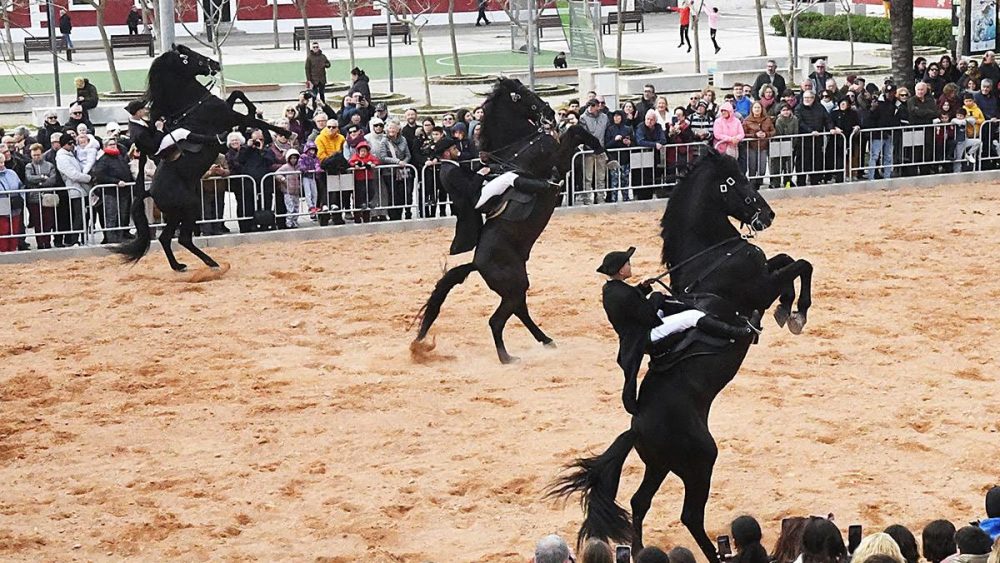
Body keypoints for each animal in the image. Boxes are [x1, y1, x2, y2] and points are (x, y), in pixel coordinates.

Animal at [116, 44, 292, 274]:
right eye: (189, 57)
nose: (215, 64)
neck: (193, 104)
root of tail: (149, 191)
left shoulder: (227, 111)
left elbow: (237, 95)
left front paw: (255, 114)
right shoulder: (229, 117)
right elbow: (254, 120)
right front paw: (283, 132)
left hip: (177, 215)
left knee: (167, 238)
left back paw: (180, 266)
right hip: (190, 208)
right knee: (183, 239)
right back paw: (213, 264)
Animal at [412, 77, 600, 364]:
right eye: (520, 95)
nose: (549, 112)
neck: (518, 147)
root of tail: (476, 263)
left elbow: (574, 130)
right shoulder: (557, 156)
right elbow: (575, 130)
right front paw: (599, 146)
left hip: (516, 286)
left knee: (518, 311)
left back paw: (546, 341)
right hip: (514, 284)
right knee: (497, 320)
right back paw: (507, 357)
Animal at [548, 151, 812, 563]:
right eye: (736, 181)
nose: (766, 215)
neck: (713, 256)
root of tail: (637, 426)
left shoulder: (764, 276)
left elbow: (787, 260)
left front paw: (789, 310)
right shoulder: (758, 288)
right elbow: (799, 265)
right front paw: (795, 311)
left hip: (660, 465)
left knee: (639, 502)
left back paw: (640, 550)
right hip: (699, 462)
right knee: (689, 515)